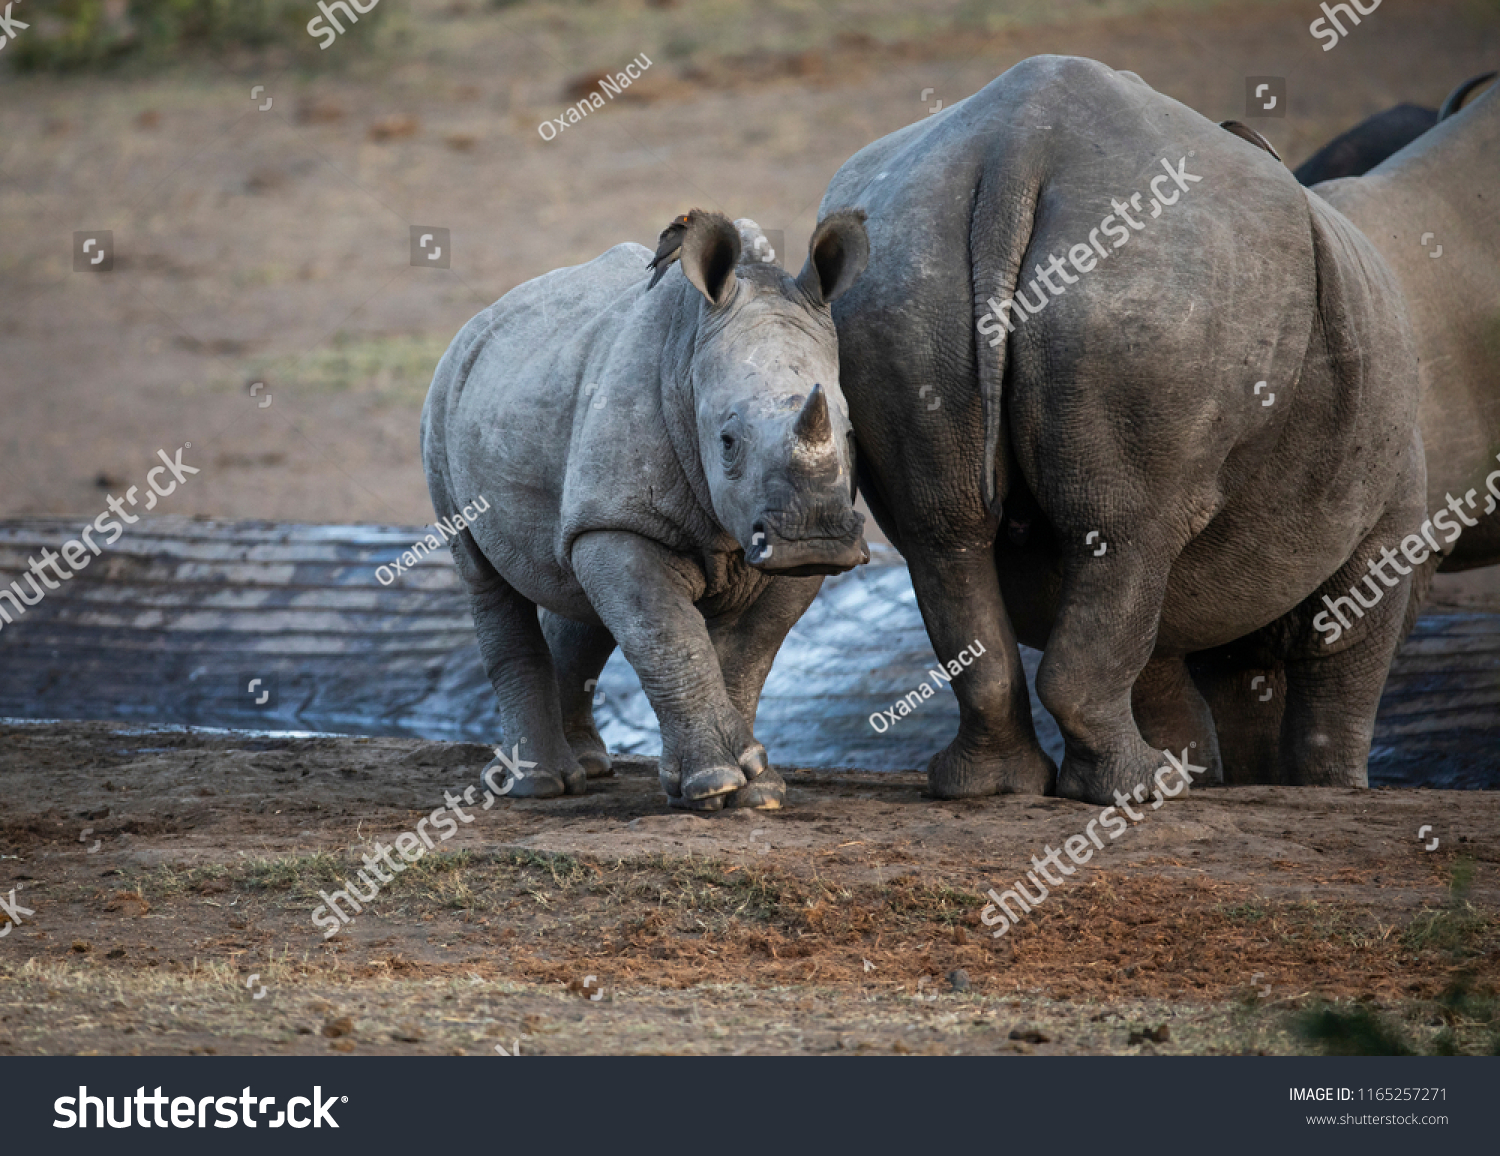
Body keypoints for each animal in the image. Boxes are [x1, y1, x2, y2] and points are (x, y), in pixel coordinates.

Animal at [420, 214, 870, 815]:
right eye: (728, 442)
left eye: (851, 435)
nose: (814, 538)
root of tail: (481, 319)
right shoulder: (622, 521)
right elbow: (668, 638)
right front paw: (715, 783)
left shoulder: (781, 555)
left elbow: (747, 656)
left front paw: (758, 789)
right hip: (444, 400)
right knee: (484, 575)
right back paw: (539, 785)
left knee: (579, 589)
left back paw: (587, 766)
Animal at [816, 56, 1422, 803]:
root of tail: (1016, 147)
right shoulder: (1388, 513)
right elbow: (1345, 656)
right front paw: (1331, 786)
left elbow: (1162, 667)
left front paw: (1215, 769)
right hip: (1150, 284)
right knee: (1125, 537)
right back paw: (1146, 788)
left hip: (900, 275)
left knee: (949, 534)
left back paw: (994, 787)